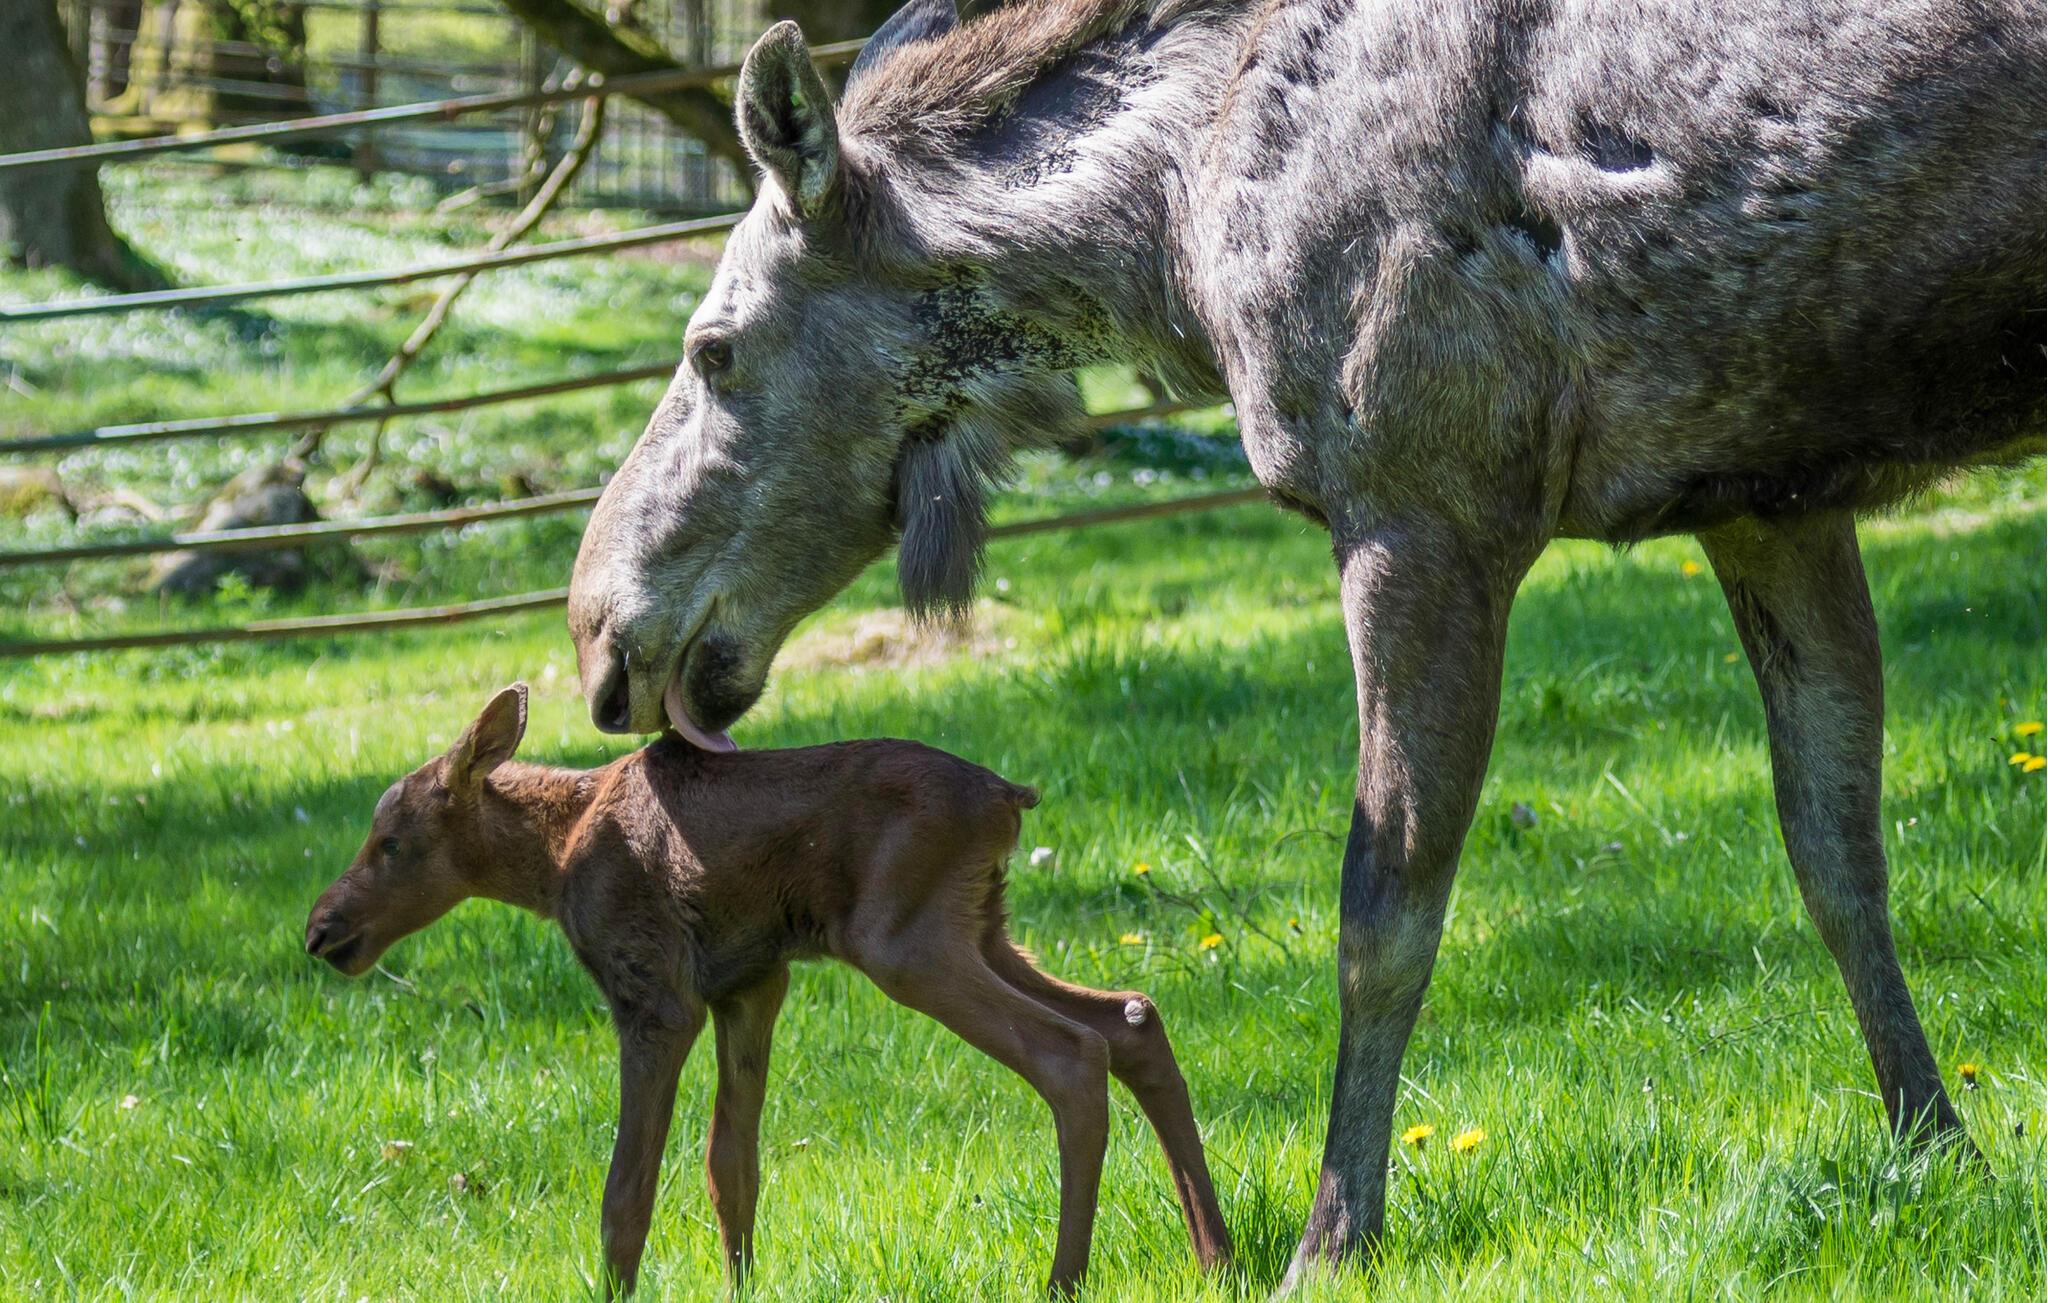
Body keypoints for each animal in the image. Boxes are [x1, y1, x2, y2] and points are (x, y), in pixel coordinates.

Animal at [303, 683, 1233, 1297]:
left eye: (390, 841)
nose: (320, 927)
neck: (552, 860)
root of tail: (1013, 798)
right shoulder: (751, 981)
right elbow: (731, 1165)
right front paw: (741, 1282)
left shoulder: (654, 992)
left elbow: (626, 1190)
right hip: (982, 927)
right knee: (1130, 1017)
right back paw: (1215, 1254)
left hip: (906, 941)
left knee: (1072, 1051)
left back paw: (1064, 1278)